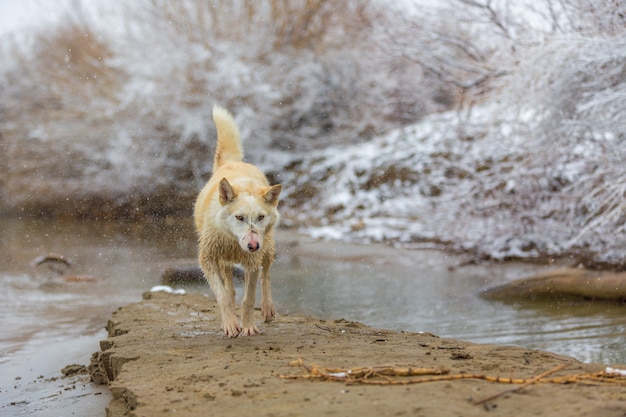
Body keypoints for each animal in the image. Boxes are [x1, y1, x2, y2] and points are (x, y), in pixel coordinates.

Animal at [194, 105, 282, 336]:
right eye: (239, 217)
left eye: (260, 217)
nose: (253, 245)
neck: (233, 242)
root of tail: (232, 162)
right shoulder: (208, 260)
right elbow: (223, 296)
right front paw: (230, 325)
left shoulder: (252, 264)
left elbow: (249, 299)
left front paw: (249, 327)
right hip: (224, 263)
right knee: (230, 288)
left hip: (267, 249)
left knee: (267, 275)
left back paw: (268, 309)